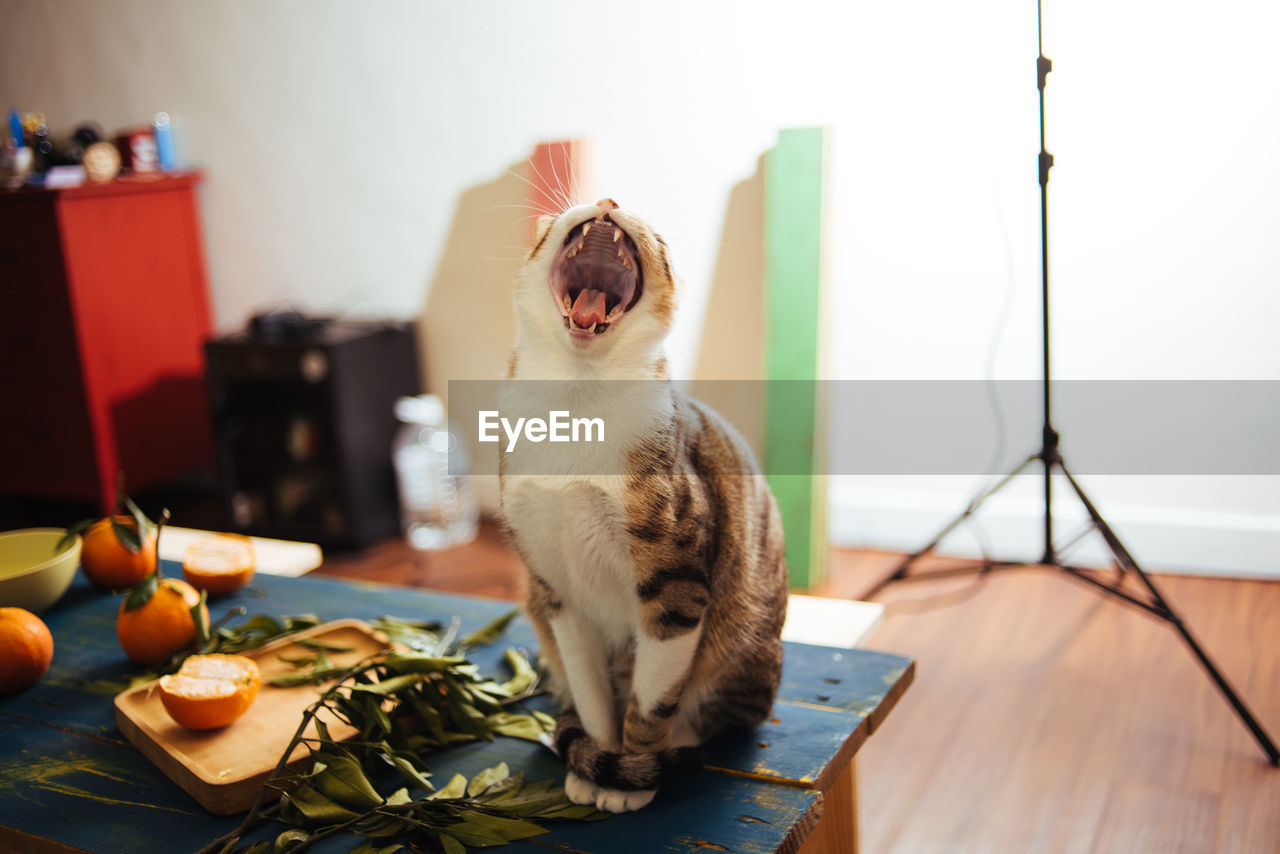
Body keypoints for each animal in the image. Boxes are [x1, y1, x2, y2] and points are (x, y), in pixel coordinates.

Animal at [501, 197, 788, 814]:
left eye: (658, 240)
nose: (608, 201)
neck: (576, 404)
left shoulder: (676, 589)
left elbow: (652, 701)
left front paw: (630, 776)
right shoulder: (556, 593)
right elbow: (590, 695)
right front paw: (599, 760)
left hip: (744, 643)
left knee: (713, 716)